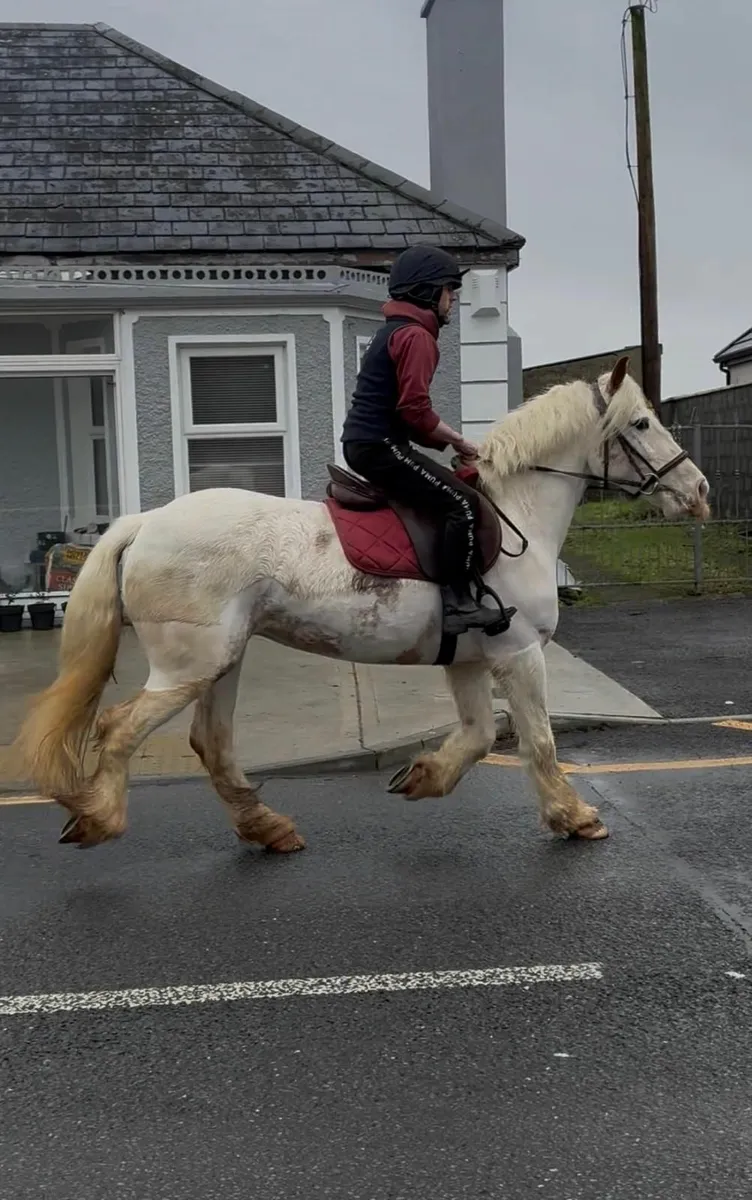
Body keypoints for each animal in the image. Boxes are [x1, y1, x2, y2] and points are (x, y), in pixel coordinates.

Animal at [12, 356, 709, 853]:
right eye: (641, 423)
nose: (698, 490)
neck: (518, 516)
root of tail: (145, 522)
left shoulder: (469, 659)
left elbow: (481, 735)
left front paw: (423, 777)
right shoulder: (519, 654)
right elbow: (537, 740)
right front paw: (575, 817)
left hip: (221, 662)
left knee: (211, 743)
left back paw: (267, 830)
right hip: (190, 665)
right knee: (118, 727)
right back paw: (97, 818)